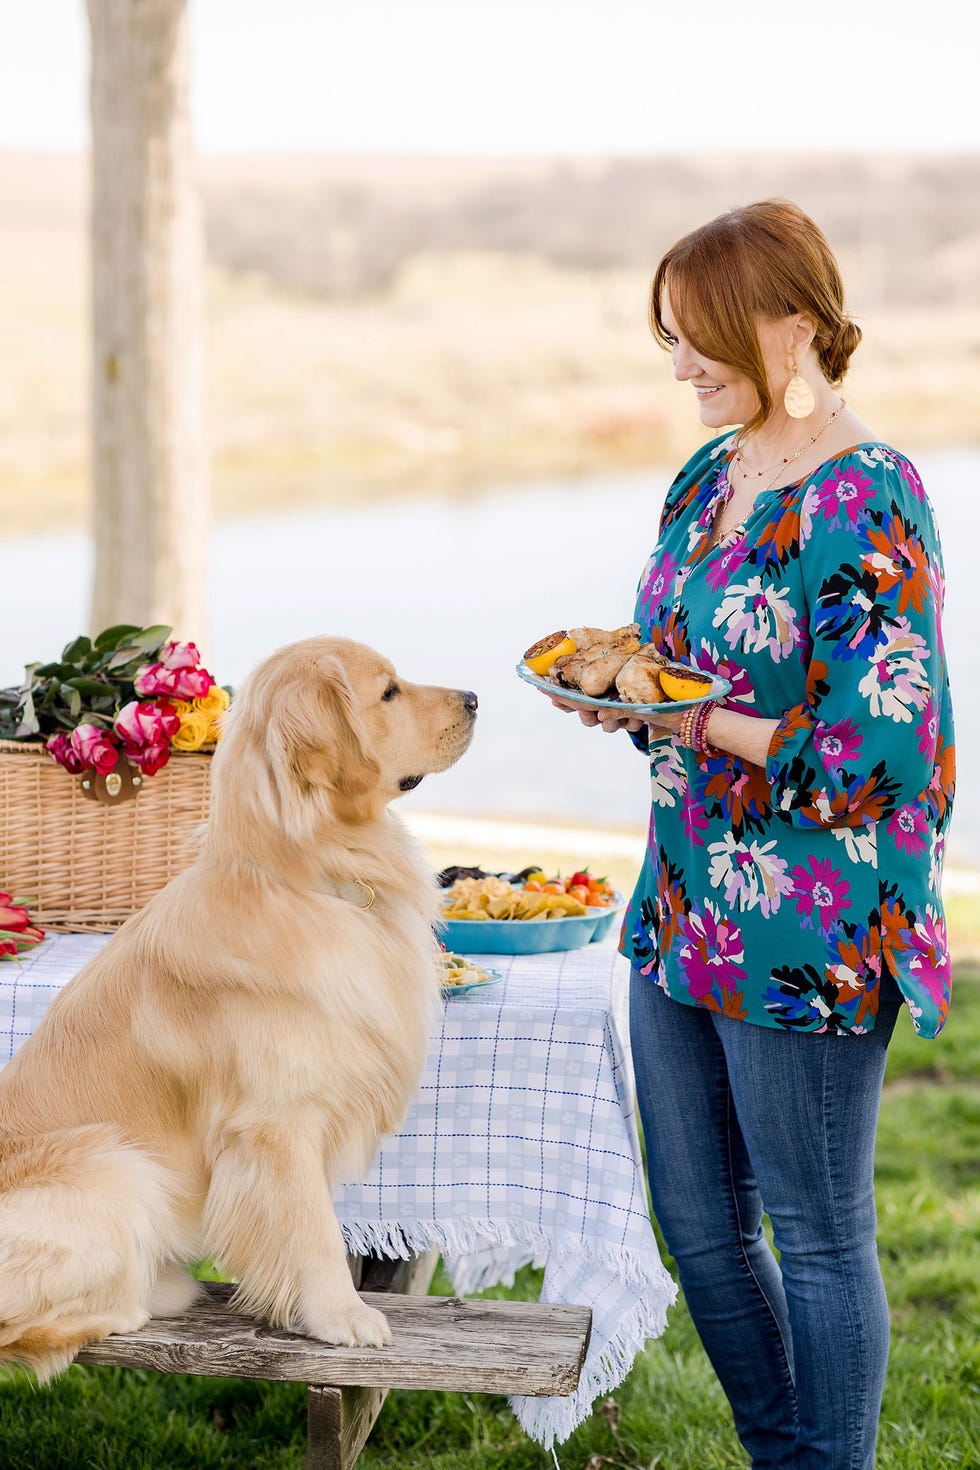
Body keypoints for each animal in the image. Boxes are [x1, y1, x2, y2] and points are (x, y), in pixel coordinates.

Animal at [0, 635, 478, 1375]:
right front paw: (341, 1315)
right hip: (113, 1166)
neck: (309, 879)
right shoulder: (276, 1124)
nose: (476, 698)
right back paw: (144, 1298)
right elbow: (312, 1228)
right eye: (389, 692)